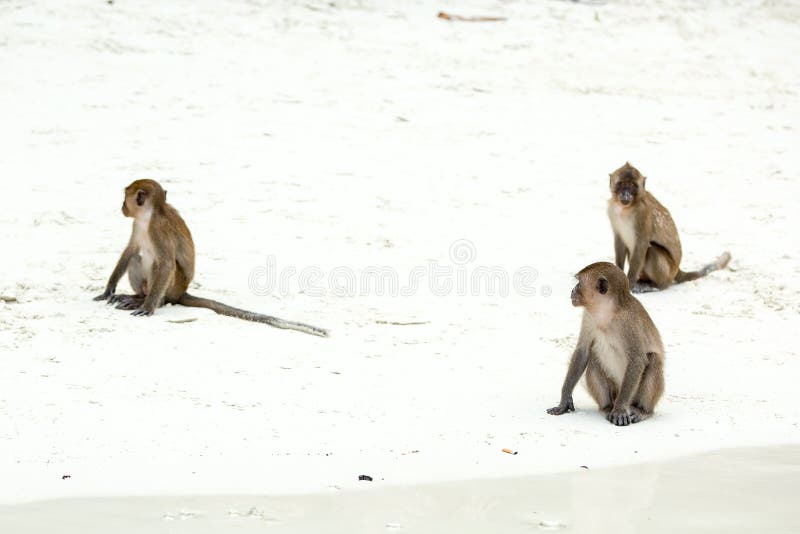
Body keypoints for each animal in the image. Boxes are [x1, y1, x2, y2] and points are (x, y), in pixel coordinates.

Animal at [93, 179, 329, 337]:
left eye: (125, 198)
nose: (122, 207)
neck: (150, 215)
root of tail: (181, 292)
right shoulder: (138, 225)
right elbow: (130, 251)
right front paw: (109, 289)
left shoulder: (158, 229)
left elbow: (167, 263)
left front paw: (148, 307)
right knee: (136, 258)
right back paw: (137, 296)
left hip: (172, 287)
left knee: (159, 266)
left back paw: (149, 300)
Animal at [547, 262, 664, 426]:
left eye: (579, 283)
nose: (572, 290)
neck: (607, 311)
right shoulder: (589, 316)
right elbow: (583, 351)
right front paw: (565, 399)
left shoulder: (628, 322)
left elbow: (637, 359)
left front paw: (620, 410)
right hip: (614, 391)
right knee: (593, 359)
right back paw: (607, 407)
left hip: (632, 396)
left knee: (653, 359)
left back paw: (642, 411)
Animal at [608, 162, 731, 293]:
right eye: (621, 184)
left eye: (632, 185)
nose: (625, 194)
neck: (625, 209)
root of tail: (677, 270)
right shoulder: (612, 211)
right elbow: (620, 241)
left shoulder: (643, 214)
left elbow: (642, 244)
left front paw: (629, 284)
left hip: (667, 272)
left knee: (652, 249)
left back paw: (655, 286)